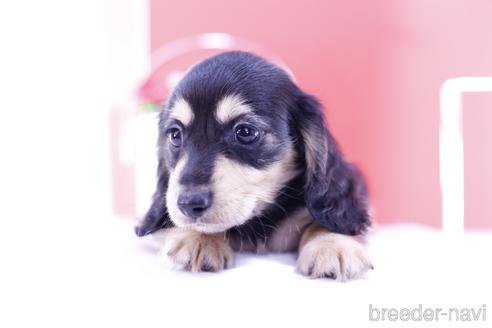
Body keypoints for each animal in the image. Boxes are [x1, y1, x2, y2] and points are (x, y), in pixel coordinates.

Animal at [135, 52, 372, 282]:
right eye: (175, 135)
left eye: (245, 132)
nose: (188, 203)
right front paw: (197, 238)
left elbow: (323, 219)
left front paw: (332, 245)